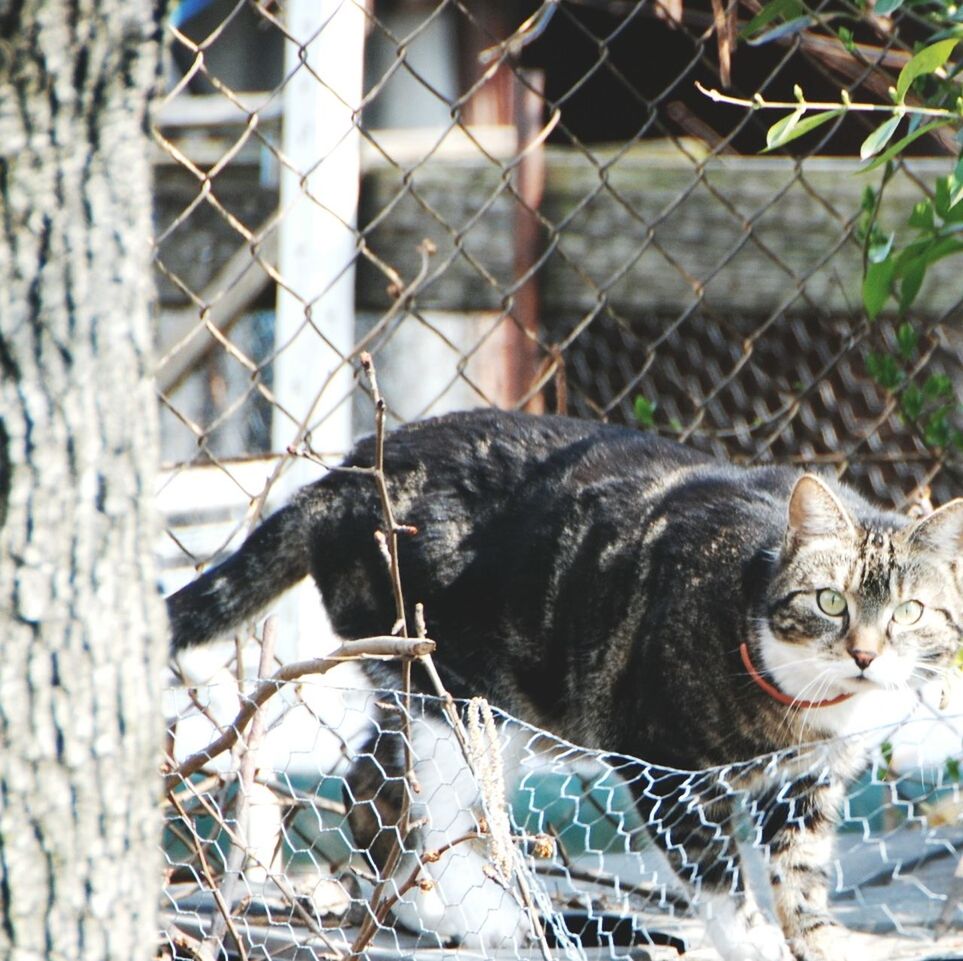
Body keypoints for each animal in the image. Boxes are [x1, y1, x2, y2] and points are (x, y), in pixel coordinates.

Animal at [169, 410, 960, 960]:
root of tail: (343, 475)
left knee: (372, 792)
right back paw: (504, 922)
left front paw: (814, 939)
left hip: (423, 685)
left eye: (910, 612)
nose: (865, 654)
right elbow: (718, 877)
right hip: (462, 696)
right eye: (830, 601)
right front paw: (752, 941)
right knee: (442, 818)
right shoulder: (661, 766)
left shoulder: (808, 787)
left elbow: (802, 885)